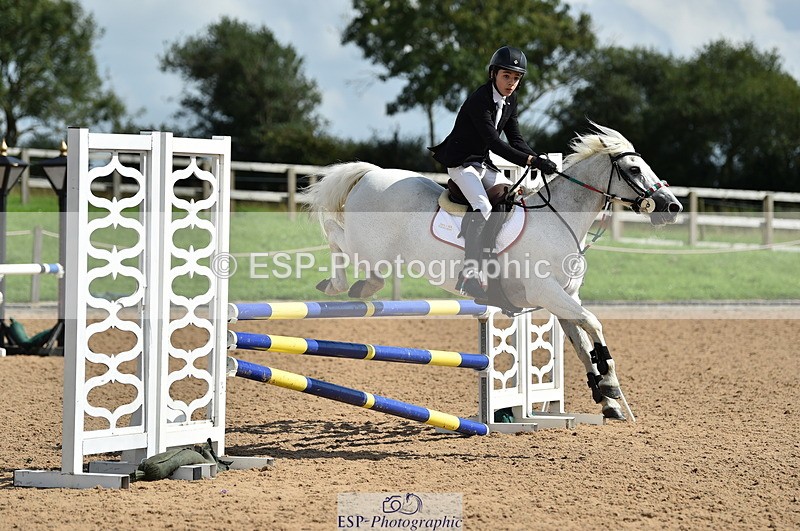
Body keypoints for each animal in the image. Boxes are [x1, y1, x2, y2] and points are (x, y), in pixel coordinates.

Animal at [302, 123, 682, 420]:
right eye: (634, 170)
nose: (672, 207)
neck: (559, 219)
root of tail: (371, 173)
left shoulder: (562, 298)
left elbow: (582, 342)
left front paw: (607, 400)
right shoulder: (547, 292)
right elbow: (595, 325)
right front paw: (612, 387)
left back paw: (361, 286)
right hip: (366, 245)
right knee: (334, 235)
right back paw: (338, 284)